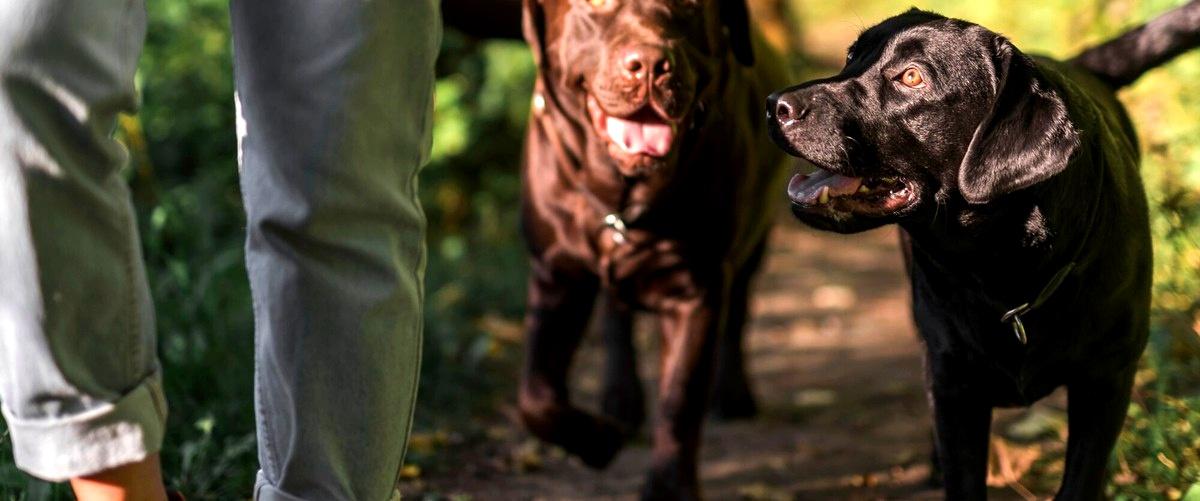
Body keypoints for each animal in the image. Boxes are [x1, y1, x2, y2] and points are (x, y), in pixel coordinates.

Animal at [518, 0, 792, 496]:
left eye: (691, 4)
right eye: (594, 5)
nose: (649, 65)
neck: (620, 197)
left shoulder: (697, 289)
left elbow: (679, 401)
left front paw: (667, 488)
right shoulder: (555, 275)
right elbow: (535, 396)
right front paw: (599, 440)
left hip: (754, 244)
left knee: (739, 312)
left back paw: (734, 393)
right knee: (616, 319)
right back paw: (619, 401)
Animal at [768, 2, 1200, 496]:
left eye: (911, 77)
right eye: (850, 57)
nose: (774, 105)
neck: (1005, 271)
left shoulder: (1107, 378)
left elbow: (1080, 480)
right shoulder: (954, 383)